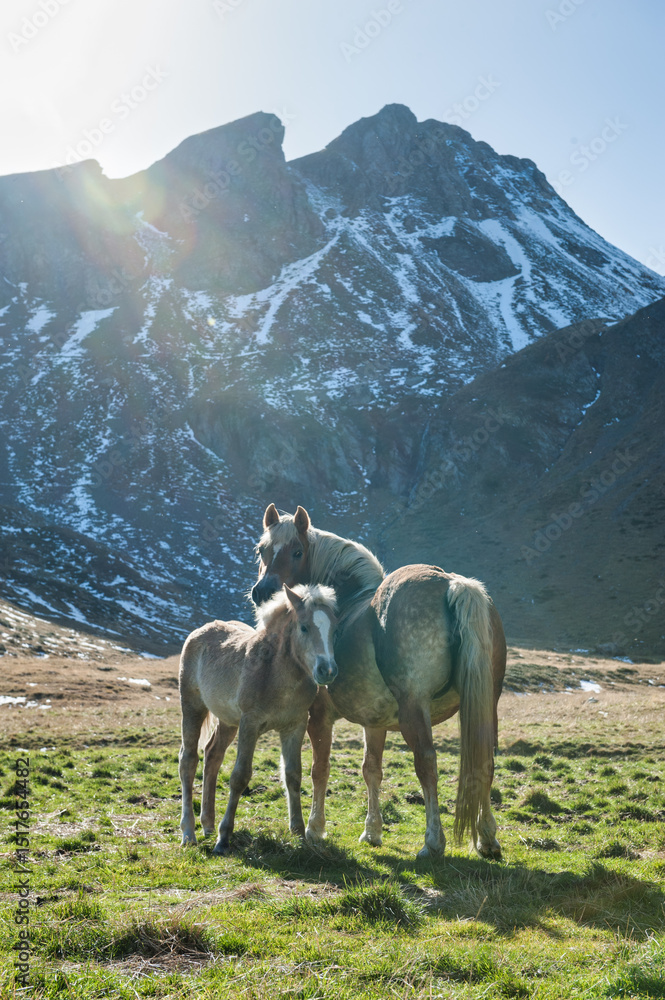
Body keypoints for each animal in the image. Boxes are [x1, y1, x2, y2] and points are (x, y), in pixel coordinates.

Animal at [178, 582, 338, 855]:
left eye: (334, 628)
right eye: (304, 627)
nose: (327, 670)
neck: (276, 673)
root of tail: (199, 631)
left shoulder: (294, 726)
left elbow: (293, 775)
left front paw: (299, 833)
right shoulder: (250, 724)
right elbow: (240, 776)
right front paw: (223, 838)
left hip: (228, 720)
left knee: (212, 755)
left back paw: (207, 824)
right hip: (192, 707)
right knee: (188, 761)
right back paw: (189, 832)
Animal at [251, 504, 506, 860]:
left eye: (297, 551)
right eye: (262, 550)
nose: (262, 592)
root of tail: (453, 584)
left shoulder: (319, 717)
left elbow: (320, 769)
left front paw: (315, 828)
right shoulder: (375, 723)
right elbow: (371, 769)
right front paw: (372, 831)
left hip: (415, 710)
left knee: (426, 762)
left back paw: (433, 841)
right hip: (486, 704)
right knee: (485, 760)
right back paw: (486, 837)